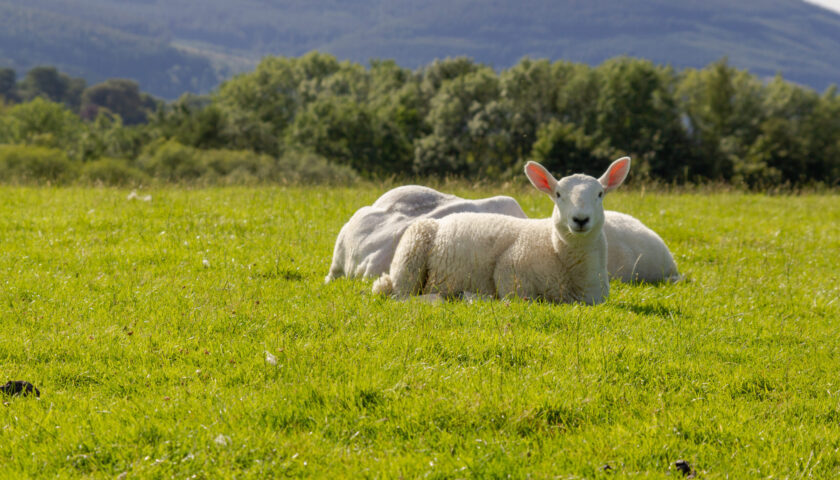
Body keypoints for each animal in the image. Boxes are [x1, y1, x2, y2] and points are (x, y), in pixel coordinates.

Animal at [372, 157, 631, 304]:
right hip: (411, 253)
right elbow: (521, 299)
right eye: (558, 195)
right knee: (404, 296)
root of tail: (441, 220)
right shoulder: (511, 272)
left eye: (600, 194)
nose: (580, 219)